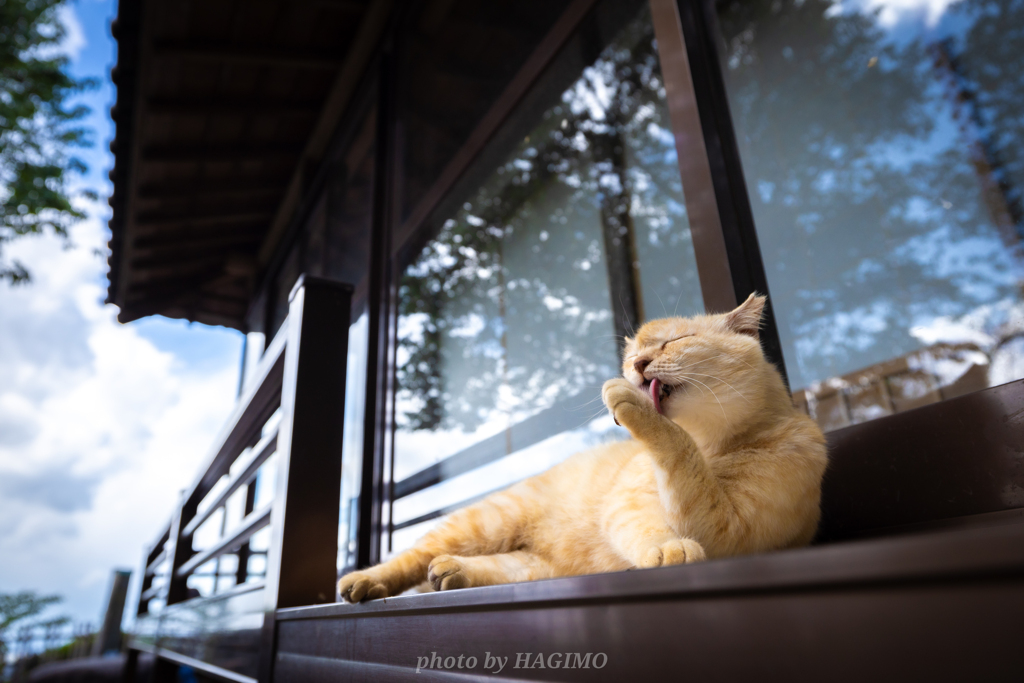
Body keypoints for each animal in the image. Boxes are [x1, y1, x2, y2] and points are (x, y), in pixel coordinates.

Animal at [339, 294, 827, 602]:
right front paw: (667, 549)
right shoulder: (631, 504)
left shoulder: (729, 529)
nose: (636, 366)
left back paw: (452, 572)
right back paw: (365, 582)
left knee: (503, 566)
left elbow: (677, 454)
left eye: (672, 342)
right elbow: (650, 524)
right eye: (630, 354)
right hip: (485, 521)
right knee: (411, 558)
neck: (713, 446)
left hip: (542, 564)